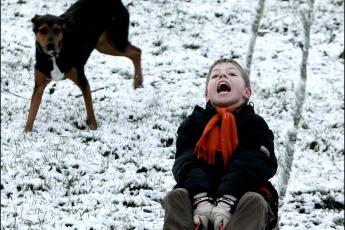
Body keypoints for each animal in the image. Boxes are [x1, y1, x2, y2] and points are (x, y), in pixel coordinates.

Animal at [24, 0, 141, 131]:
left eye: (57, 30)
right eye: (42, 30)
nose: (50, 45)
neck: (54, 56)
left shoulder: (82, 81)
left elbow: (89, 108)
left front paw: (93, 128)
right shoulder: (38, 86)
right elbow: (31, 112)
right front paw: (26, 132)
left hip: (117, 40)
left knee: (137, 52)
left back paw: (138, 81)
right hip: (104, 45)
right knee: (136, 52)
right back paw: (138, 82)